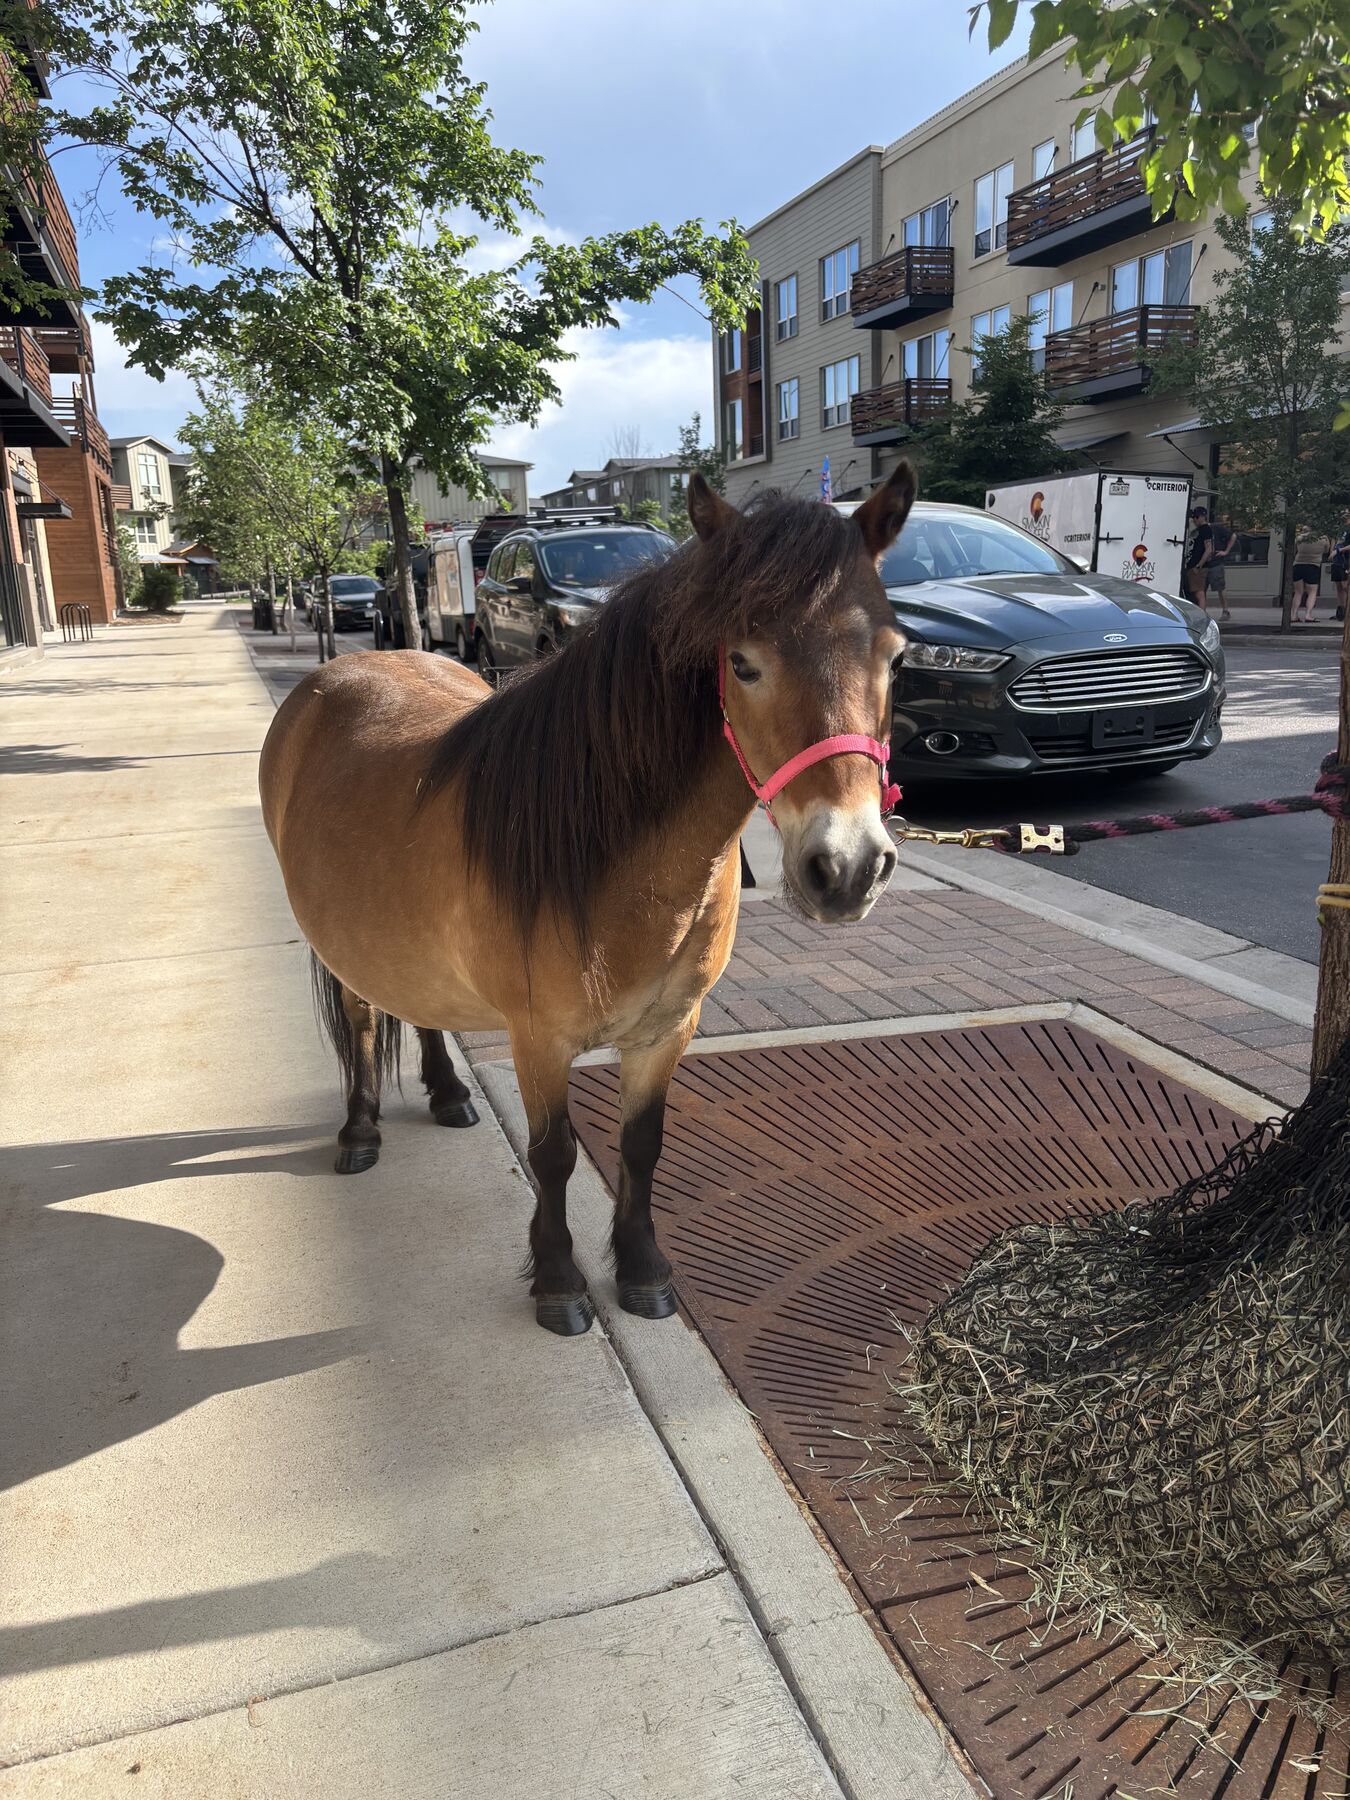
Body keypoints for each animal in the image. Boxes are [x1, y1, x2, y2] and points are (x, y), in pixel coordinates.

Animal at [259, 463, 916, 1335]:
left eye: (896, 660)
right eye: (743, 663)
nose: (846, 868)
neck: (610, 857)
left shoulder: (668, 1031)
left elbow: (642, 1146)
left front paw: (642, 1270)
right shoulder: (539, 1041)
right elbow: (555, 1155)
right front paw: (559, 1280)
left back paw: (447, 1093)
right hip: (339, 946)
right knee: (363, 1017)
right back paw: (361, 1128)